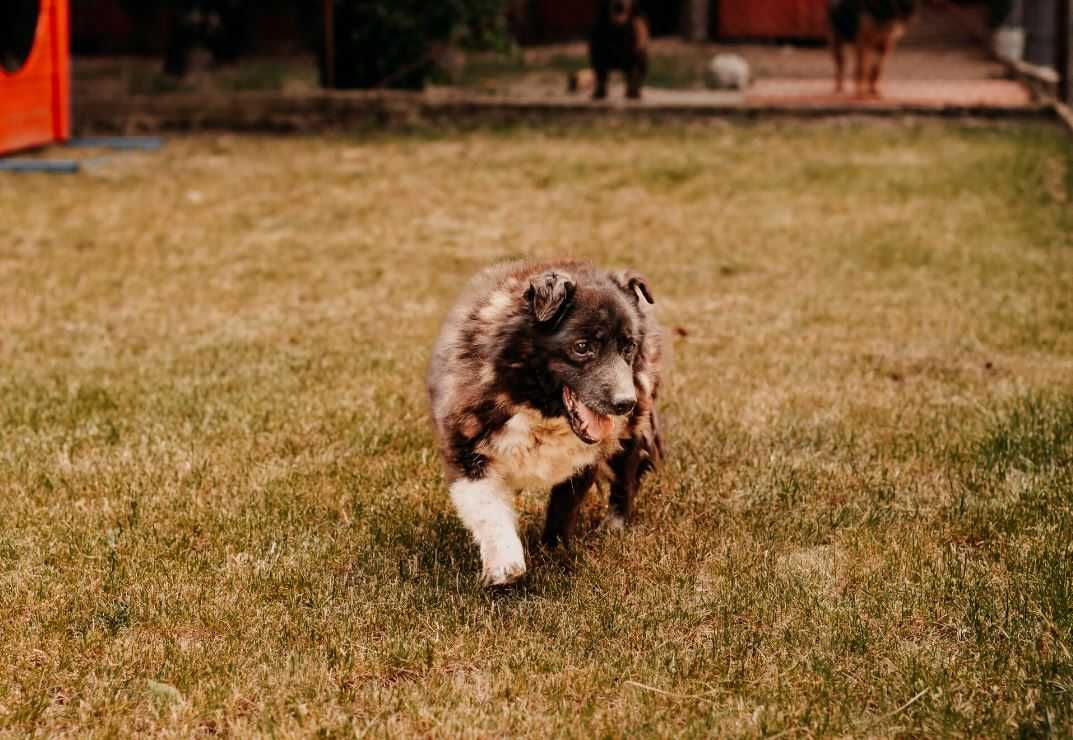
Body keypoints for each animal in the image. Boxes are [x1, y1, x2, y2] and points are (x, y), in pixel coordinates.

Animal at [427, 259, 660, 583]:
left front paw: (554, 552)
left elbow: (564, 508)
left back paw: (614, 525)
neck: (536, 404)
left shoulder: (584, 457)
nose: (625, 403)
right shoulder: (464, 443)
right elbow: (489, 509)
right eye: (582, 347)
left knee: (626, 473)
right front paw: (505, 566)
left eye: (628, 347)